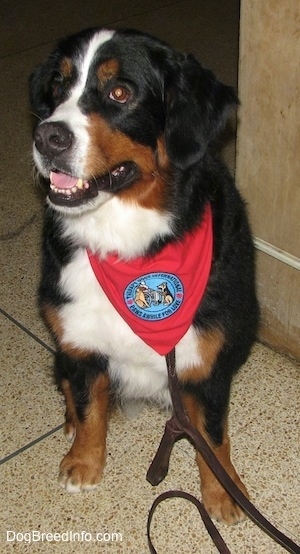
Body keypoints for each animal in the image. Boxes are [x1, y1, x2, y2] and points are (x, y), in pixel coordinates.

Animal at [31, 28, 260, 520]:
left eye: (121, 93)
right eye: (58, 87)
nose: (47, 137)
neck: (130, 248)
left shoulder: (207, 362)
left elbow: (213, 435)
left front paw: (223, 492)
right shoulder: (79, 342)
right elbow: (89, 405)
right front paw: (84, 461)